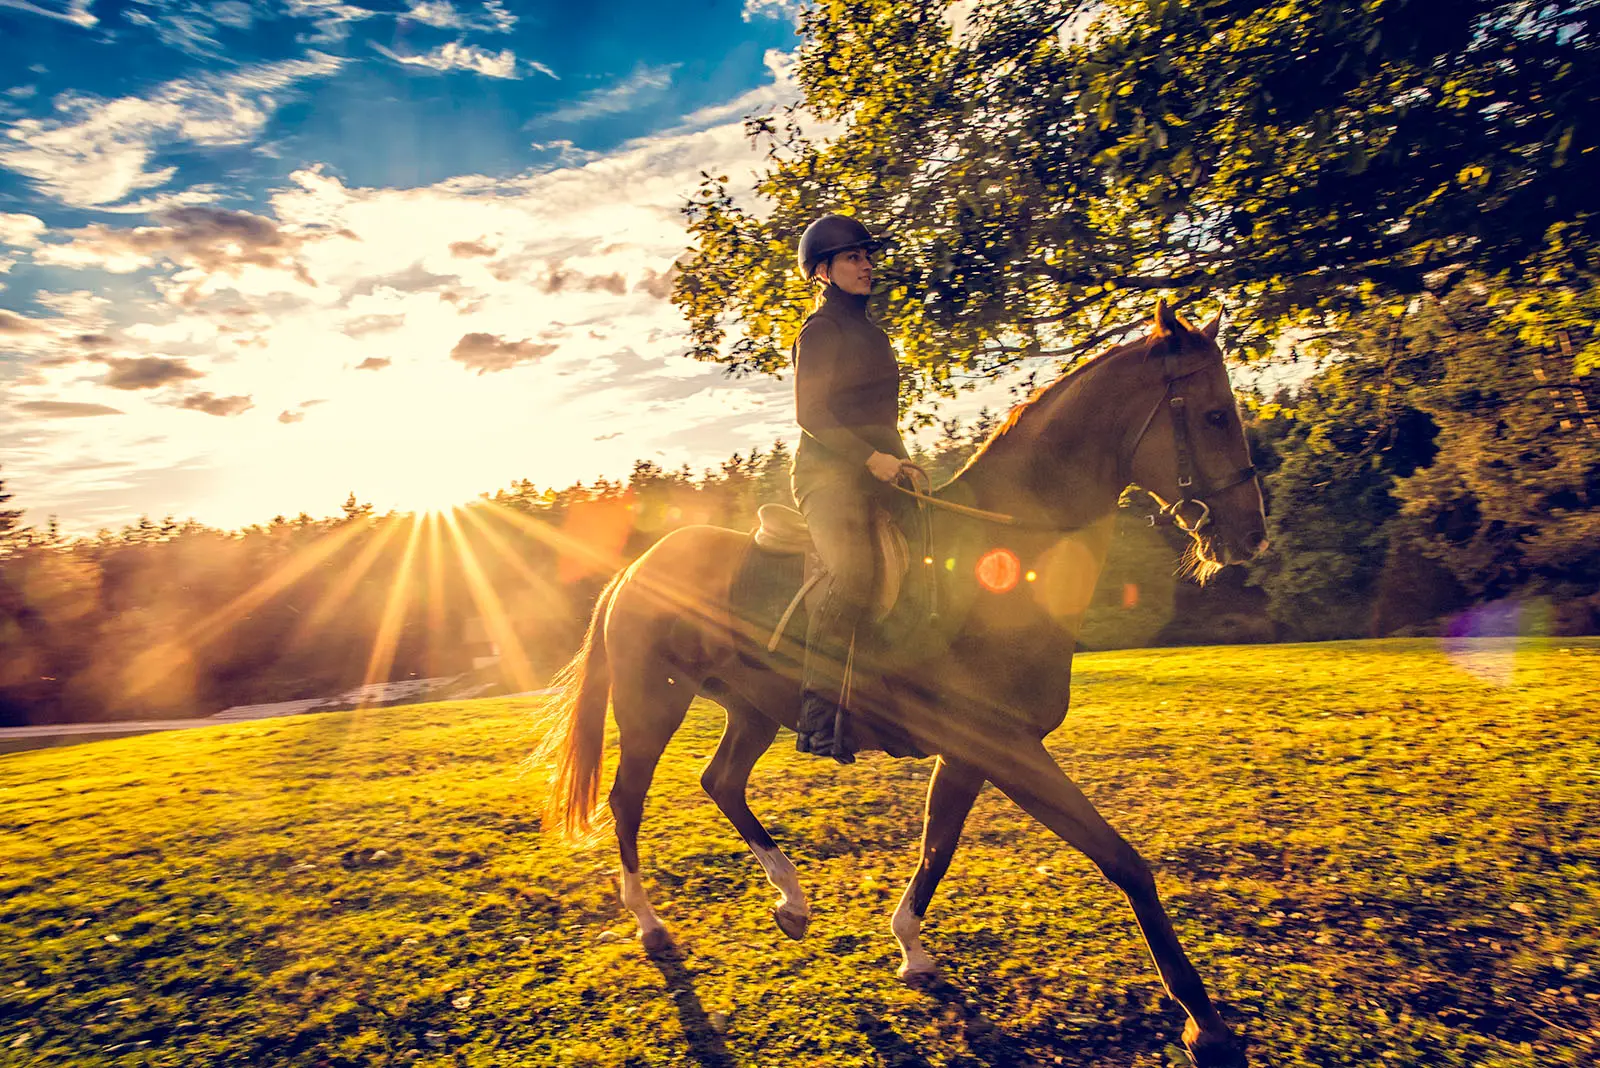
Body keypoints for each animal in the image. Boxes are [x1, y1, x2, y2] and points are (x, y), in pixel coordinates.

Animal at [534, 300, 1260, 1068]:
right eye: (1215, 414)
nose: (1251, 535)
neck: (1002, 558)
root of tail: (635, 568)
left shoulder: (977, 753)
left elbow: (937, 845)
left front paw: (912, 951)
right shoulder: (1007, 749)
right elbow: (1124, 861)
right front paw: (1205, 1024)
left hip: (752, 711)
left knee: (721, 782)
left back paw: (792, 901)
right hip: (653, 706)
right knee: (627, 802)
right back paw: (652, 924)